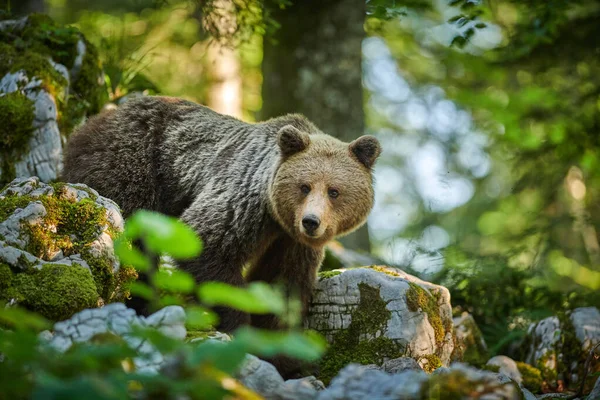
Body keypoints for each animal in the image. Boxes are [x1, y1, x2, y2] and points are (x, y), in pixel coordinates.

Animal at [61, 96, 380, 368]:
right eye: (304, 186)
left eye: (334, 191)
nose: (311, 221)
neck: (276, 217)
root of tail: (98, 118)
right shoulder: (243, 200)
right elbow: (207, 244)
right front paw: (238, 329)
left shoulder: (290, 242)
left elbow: (282, 285)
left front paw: (283, 354)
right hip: (130, 166)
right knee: (134, 242)